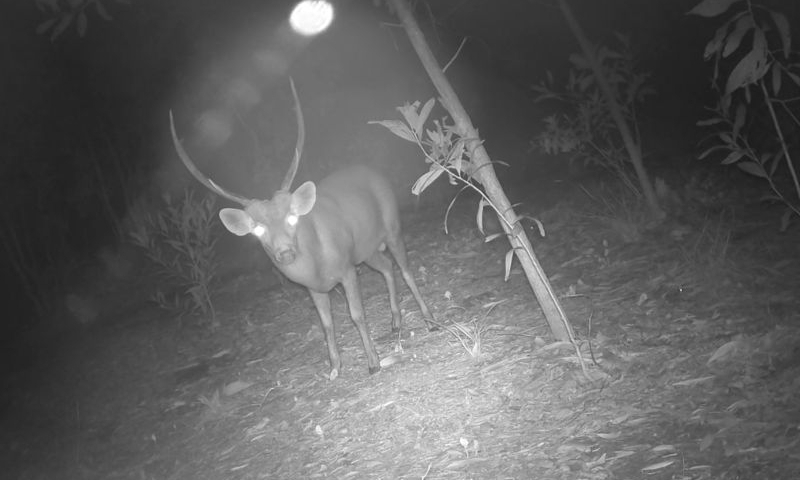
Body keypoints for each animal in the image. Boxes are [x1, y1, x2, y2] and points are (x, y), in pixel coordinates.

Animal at [169, 80, 436, 379]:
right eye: (257, 230)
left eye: (292, 218)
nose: (285, 252)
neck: (318, 261)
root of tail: (374, 172)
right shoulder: (314, 288)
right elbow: (326, 324)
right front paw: (334, 368)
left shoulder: (346, 268)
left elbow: (356, 314)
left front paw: (373, 362)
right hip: (365, 249)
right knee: (387, 267)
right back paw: (395, 321)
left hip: (391, 225)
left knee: (405, 269)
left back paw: (429, 319)